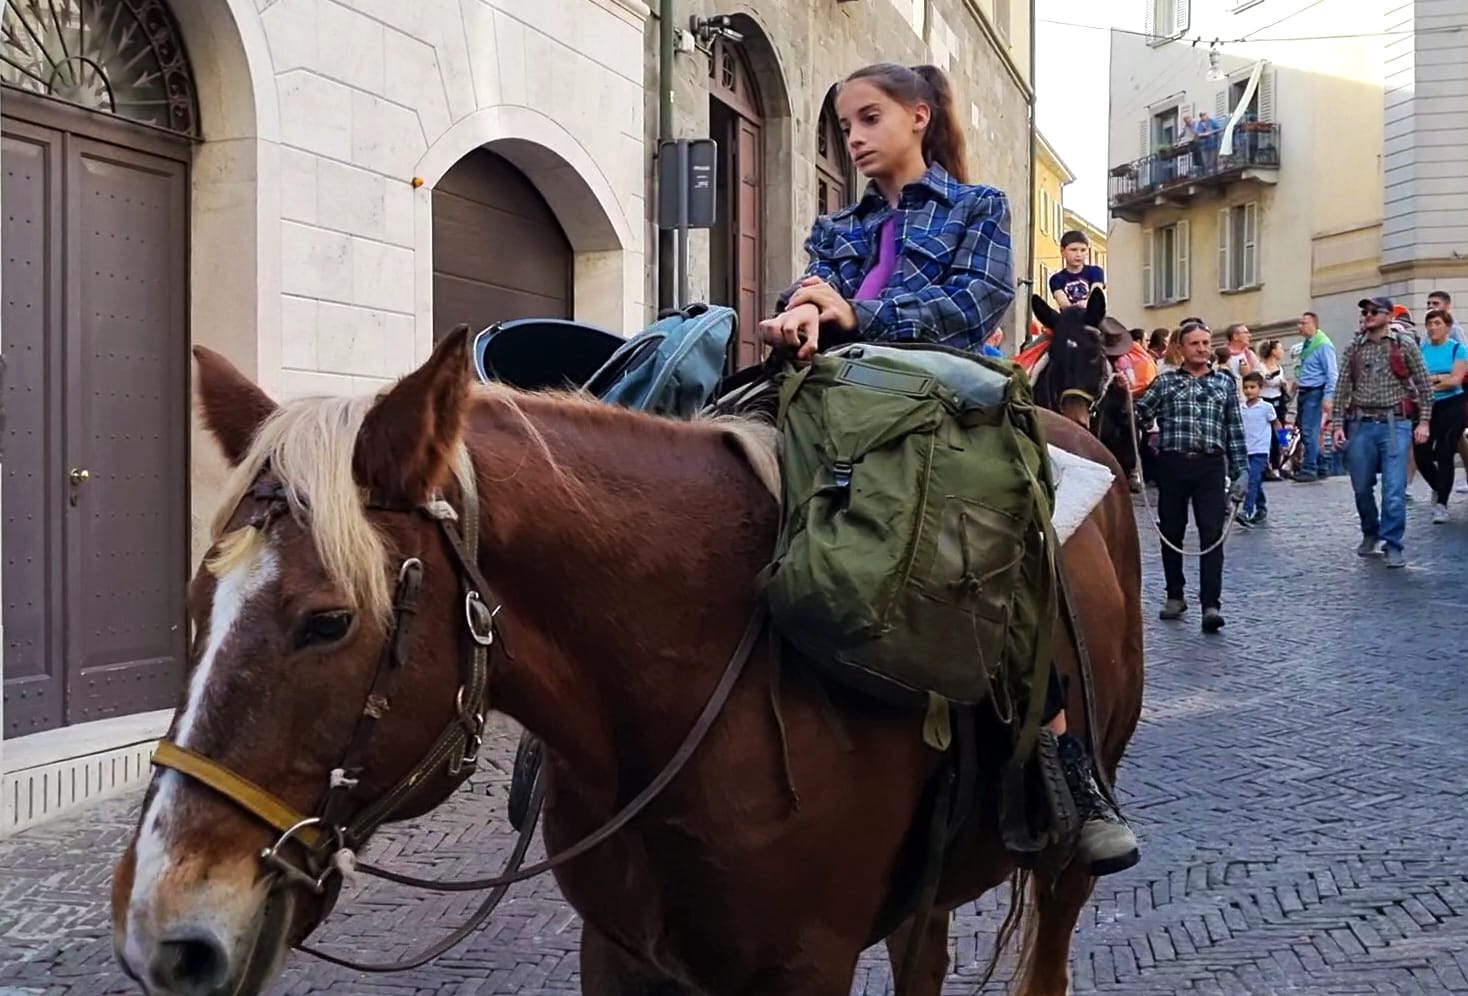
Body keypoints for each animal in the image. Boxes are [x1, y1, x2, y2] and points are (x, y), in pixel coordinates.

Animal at [109, 327, 1144, 996]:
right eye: (196, 604)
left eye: (326, 622)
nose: (163, 929)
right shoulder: (619, 955)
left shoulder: (804, 968)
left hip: (1070, 861)